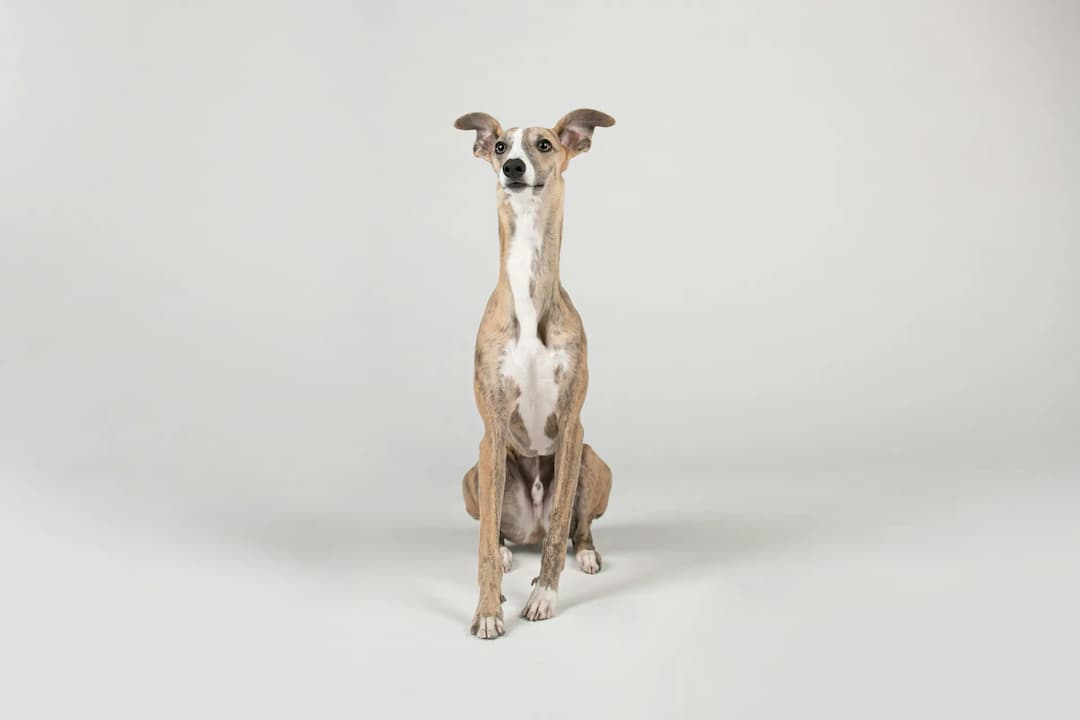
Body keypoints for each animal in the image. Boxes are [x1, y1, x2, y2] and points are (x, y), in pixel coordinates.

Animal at [453, 110, 617, 639]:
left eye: (544, 144)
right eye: (500, 146)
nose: (514, 168)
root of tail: (532, 528)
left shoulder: (571, 426)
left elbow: (564, 512)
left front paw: (544, 595)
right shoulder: (492, 427)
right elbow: (484, 543)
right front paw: (488, 610)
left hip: (592, 460)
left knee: (573, 528)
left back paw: (584, 552)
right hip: (476, 472)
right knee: (497, 529)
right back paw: (509, 552)